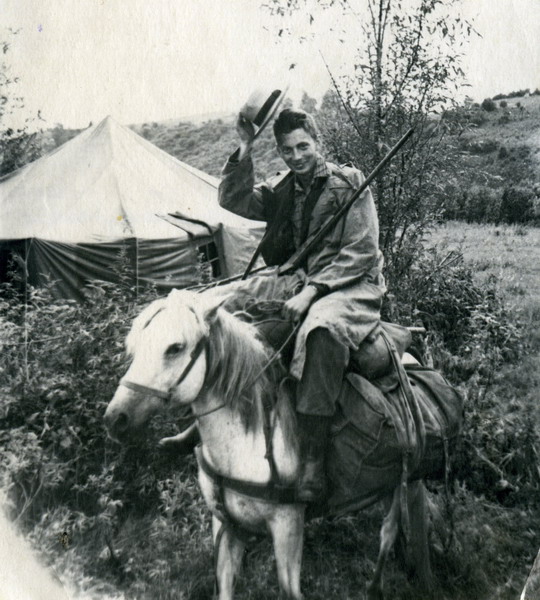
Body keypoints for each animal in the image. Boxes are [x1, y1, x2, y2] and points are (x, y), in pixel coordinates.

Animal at [104, 288, 442, 600]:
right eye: (135, 346)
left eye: (175, 348)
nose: (115, 418)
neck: (244, 442)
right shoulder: (225, 526)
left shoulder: (287, 526)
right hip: (388, 483)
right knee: (392, 526)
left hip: (413, 481)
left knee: (412, 530)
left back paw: (422, 582)